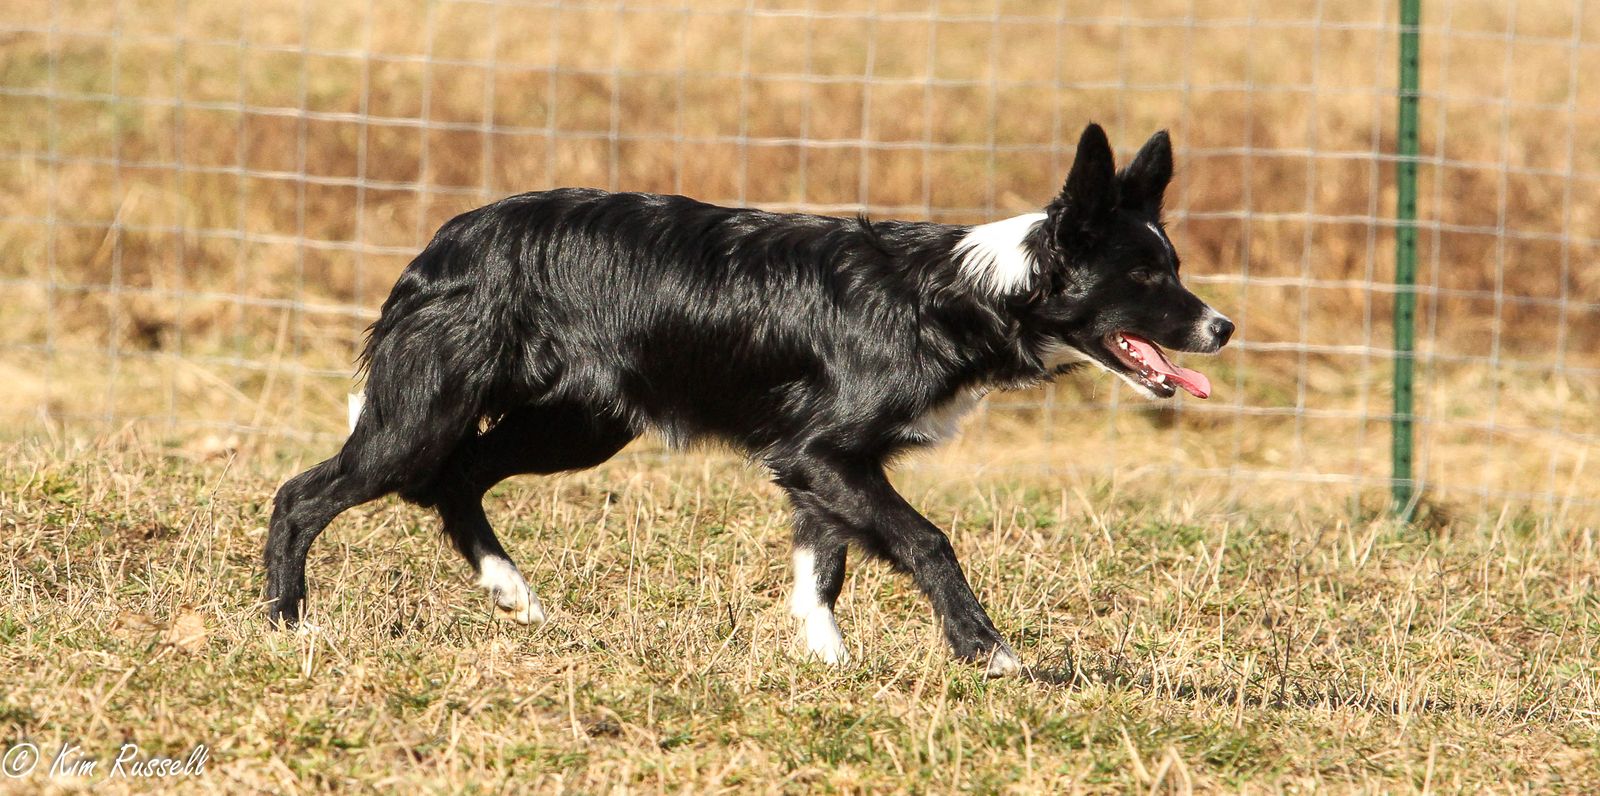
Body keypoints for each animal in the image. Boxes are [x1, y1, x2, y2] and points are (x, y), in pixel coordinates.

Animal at [263, 123, 1233, 675]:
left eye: (1175, 267)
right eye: (1147, 277)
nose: (1222, 327)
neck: (964, 292)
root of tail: (443, 242)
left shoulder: (821, 465)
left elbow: (822, 564)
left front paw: (827, 658)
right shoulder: (823, 451)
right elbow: (927, 540)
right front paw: (987, 652)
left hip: (576, 427)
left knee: (458, 479)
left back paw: (512, 592)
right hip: (422, 415)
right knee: (302, 495)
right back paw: (285, 623)